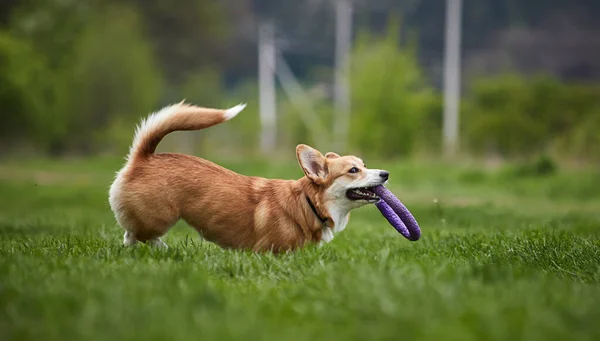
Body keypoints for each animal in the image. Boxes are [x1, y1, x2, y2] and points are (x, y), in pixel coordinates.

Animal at [108, 99, 390, 251]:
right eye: (353, 170)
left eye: (364, 164)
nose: (385, 173)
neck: (308, 203)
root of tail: (143, 157)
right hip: (160, 217)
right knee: (136, 234)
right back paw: (163, 250)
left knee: (131, 237)